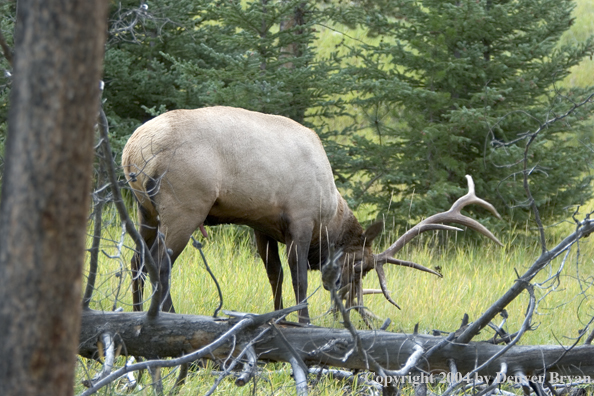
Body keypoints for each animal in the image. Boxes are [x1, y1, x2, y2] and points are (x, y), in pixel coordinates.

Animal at [121, 106, 500, 324]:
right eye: (359, 266)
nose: (347, 300)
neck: (329, 211)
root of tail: (133, 150)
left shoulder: (262, 226)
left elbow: (274, 275)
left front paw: (278, 317)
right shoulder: (300, 220)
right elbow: (298, 276)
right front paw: (303, 319)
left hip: (144, 208)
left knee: (137, 259)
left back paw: (136, 311)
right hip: (185, 205)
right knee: (160, 261)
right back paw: (167, 314)